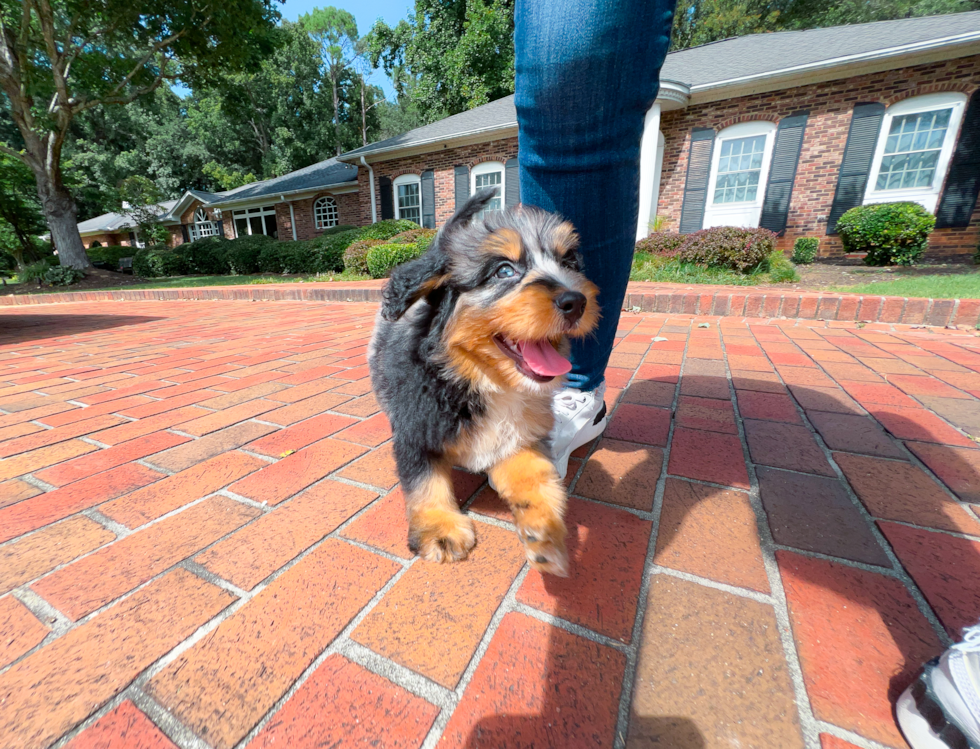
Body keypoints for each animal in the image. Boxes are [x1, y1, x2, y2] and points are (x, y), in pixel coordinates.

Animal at [368, 190, 596, 576]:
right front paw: (439, 529)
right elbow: (424, 481)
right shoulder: (417, 427)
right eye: (504, 270)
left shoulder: (520, 436)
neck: (483, 380)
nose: (576, 300)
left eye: (569, 262)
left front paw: (545, 531)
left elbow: (534, 475)